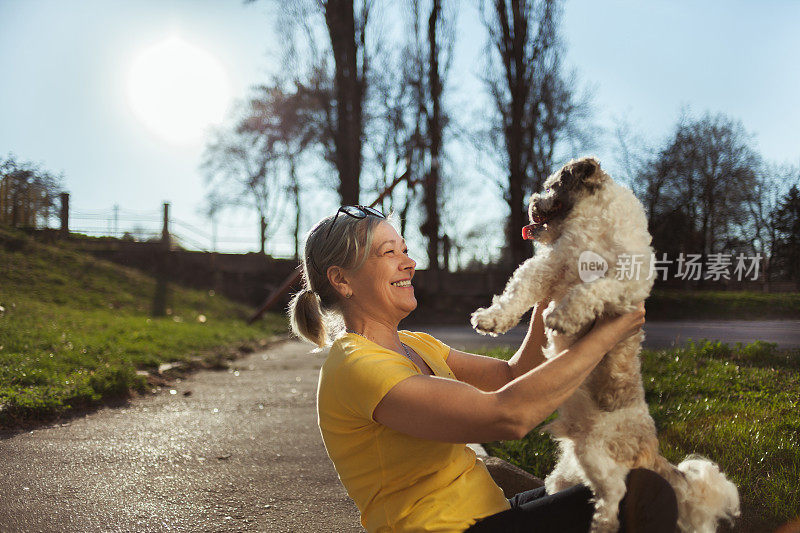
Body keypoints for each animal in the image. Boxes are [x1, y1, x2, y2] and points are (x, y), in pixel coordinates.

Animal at [472, 158, 740, 532]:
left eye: (553, 185)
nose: (532, 201)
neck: (593, 227)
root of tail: (652, 451)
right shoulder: (547, 268)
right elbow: (516, 294)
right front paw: (491, 319)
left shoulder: (623, 289)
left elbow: (591, 289)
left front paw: (563, 315)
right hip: (574, 465)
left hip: (598, 453)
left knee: (614, 496)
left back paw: (601, 524)